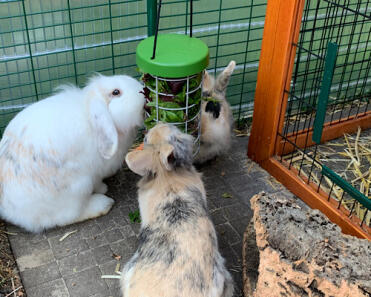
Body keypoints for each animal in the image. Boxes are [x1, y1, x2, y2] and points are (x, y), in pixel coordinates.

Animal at [0, 73, 146, 231]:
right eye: (116, 92)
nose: (143, 91)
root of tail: (10, 212)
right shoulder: (94, 171)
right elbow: (97, 182)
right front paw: (103, 189)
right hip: (79, 186)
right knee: (65, 217)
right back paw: (103, 204)